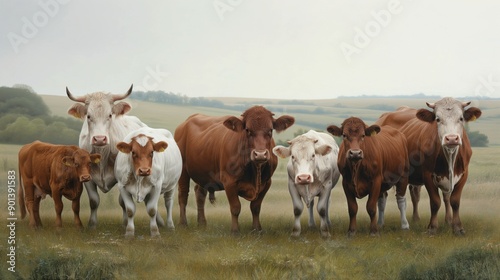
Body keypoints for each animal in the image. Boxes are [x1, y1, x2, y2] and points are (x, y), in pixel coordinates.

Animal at [66, 84, 146, 229]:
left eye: (110, 115)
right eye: (88, 116)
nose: (99, 139)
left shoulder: (122, 178)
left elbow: (123, 202)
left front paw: (125, 223)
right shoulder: (87, 177)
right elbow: (93, 201)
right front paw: (92, 225)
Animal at [382, 98, 480, 234]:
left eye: (461, 118)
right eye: (437, 119)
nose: (451, 139)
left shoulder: (463, 175)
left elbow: (454, 201)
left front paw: (457, 227)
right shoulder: (428, 175)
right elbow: (435, 202)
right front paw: (432, 227)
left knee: (417, 195)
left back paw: (422, 218)